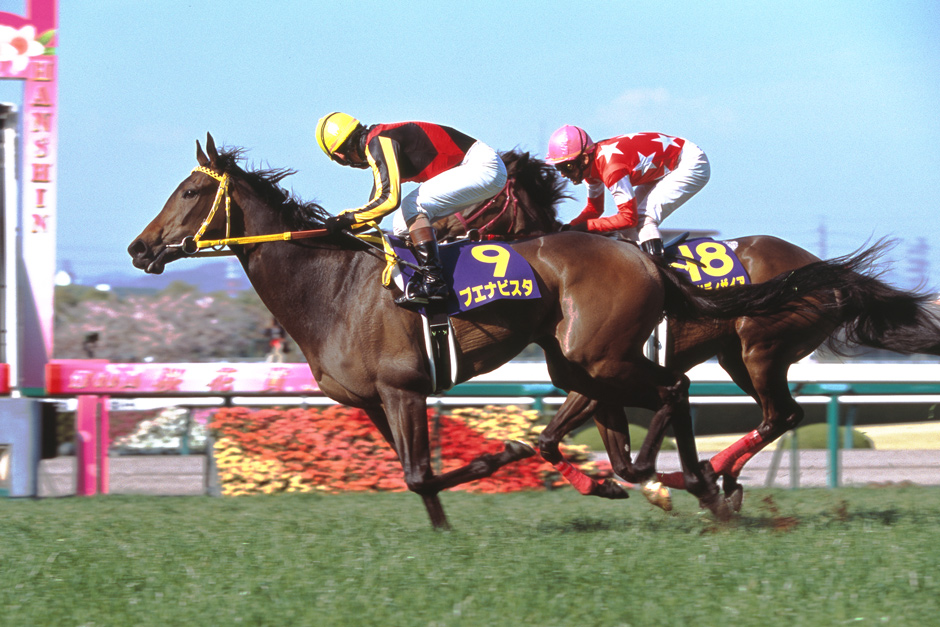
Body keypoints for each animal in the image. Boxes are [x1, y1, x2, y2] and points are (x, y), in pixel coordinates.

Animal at [128, 135, 866, 527]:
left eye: (191, 192)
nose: (139, 249)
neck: (332, 288)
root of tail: (641, 260)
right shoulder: (370, 402)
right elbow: (421, 473)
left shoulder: (403, 389)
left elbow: (423, 473)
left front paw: (481, 478)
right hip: (592, 361)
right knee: (702, 405)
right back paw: (695, 481)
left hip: (696, 353)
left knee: (688, 391)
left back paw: (696, 478)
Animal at [437, 151, 940, 507]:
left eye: (481, 195)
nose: (435, 230)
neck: (558, 273)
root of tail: (822, 271)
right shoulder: (597, 380)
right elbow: (553, 441)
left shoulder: (610, 369)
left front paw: (664, 480)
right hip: (738, 358)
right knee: (784, 415)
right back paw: (720, 477)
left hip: (761, 350)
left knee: (779, 416)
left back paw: (706, 474)